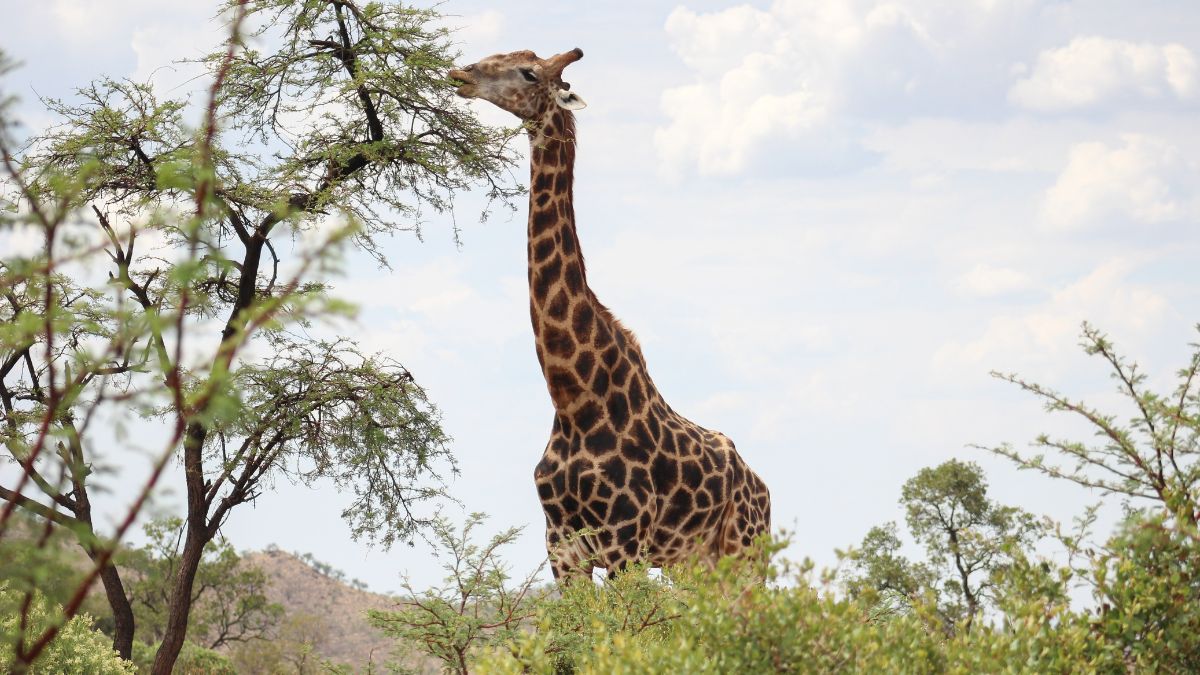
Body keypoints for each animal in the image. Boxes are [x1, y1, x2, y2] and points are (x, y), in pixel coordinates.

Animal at [449, 48, 771, 580]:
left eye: (529, 73)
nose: (461, 74)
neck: (573, 399)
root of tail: (763, 489)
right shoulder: (561, 548)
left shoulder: (625, 543)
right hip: (692, 564)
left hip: (743, 556)